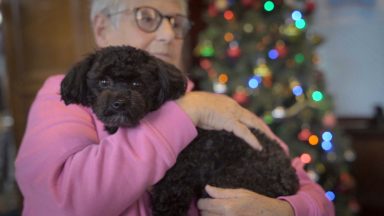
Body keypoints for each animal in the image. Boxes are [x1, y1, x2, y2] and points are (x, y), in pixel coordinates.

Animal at [60, 45, 300, 214]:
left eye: (137, 84)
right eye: (103, 82)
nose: (119, 103)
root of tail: (291, 178)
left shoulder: (173, 187)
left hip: (226, 183)